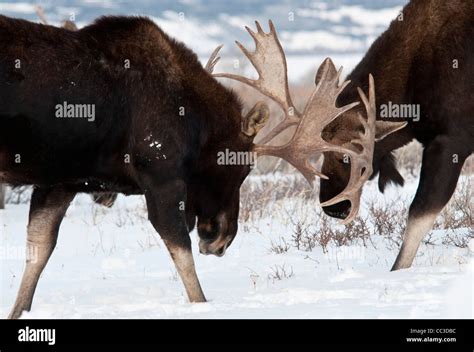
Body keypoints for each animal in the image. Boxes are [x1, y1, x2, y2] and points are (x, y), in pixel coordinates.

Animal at [0, 14, 404, 320]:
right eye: (242, 168)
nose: (221, 239)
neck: (196, 121)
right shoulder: (161, 176)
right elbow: (184, 257)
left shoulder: (58, 181)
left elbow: (37, 252)